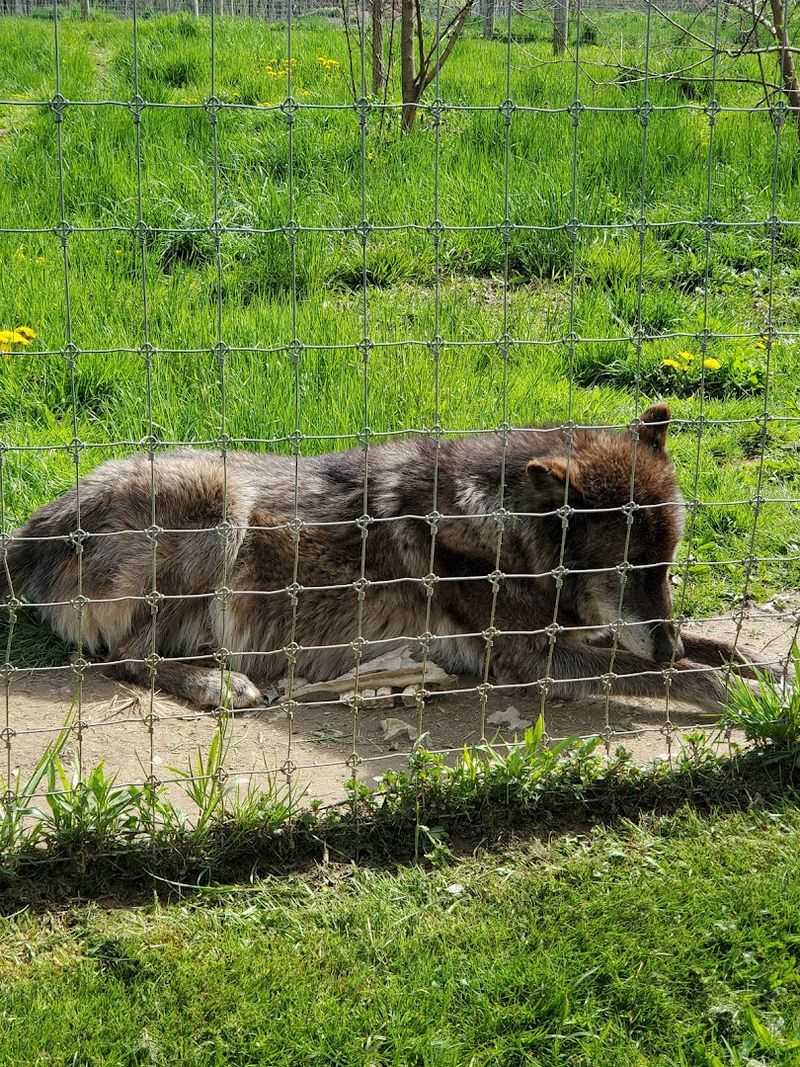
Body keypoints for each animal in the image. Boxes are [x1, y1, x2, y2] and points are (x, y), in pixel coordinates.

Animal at [1, 405, 770, 711]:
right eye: (628, 569)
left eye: (664, 566)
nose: (667, 641)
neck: (502, 529)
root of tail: (26, 533)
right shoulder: (536, 658)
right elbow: (668, 675)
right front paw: (730, 691)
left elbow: (711, 647)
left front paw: (762, 666)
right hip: (219, 506)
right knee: (125, 658)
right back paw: (220, 684)